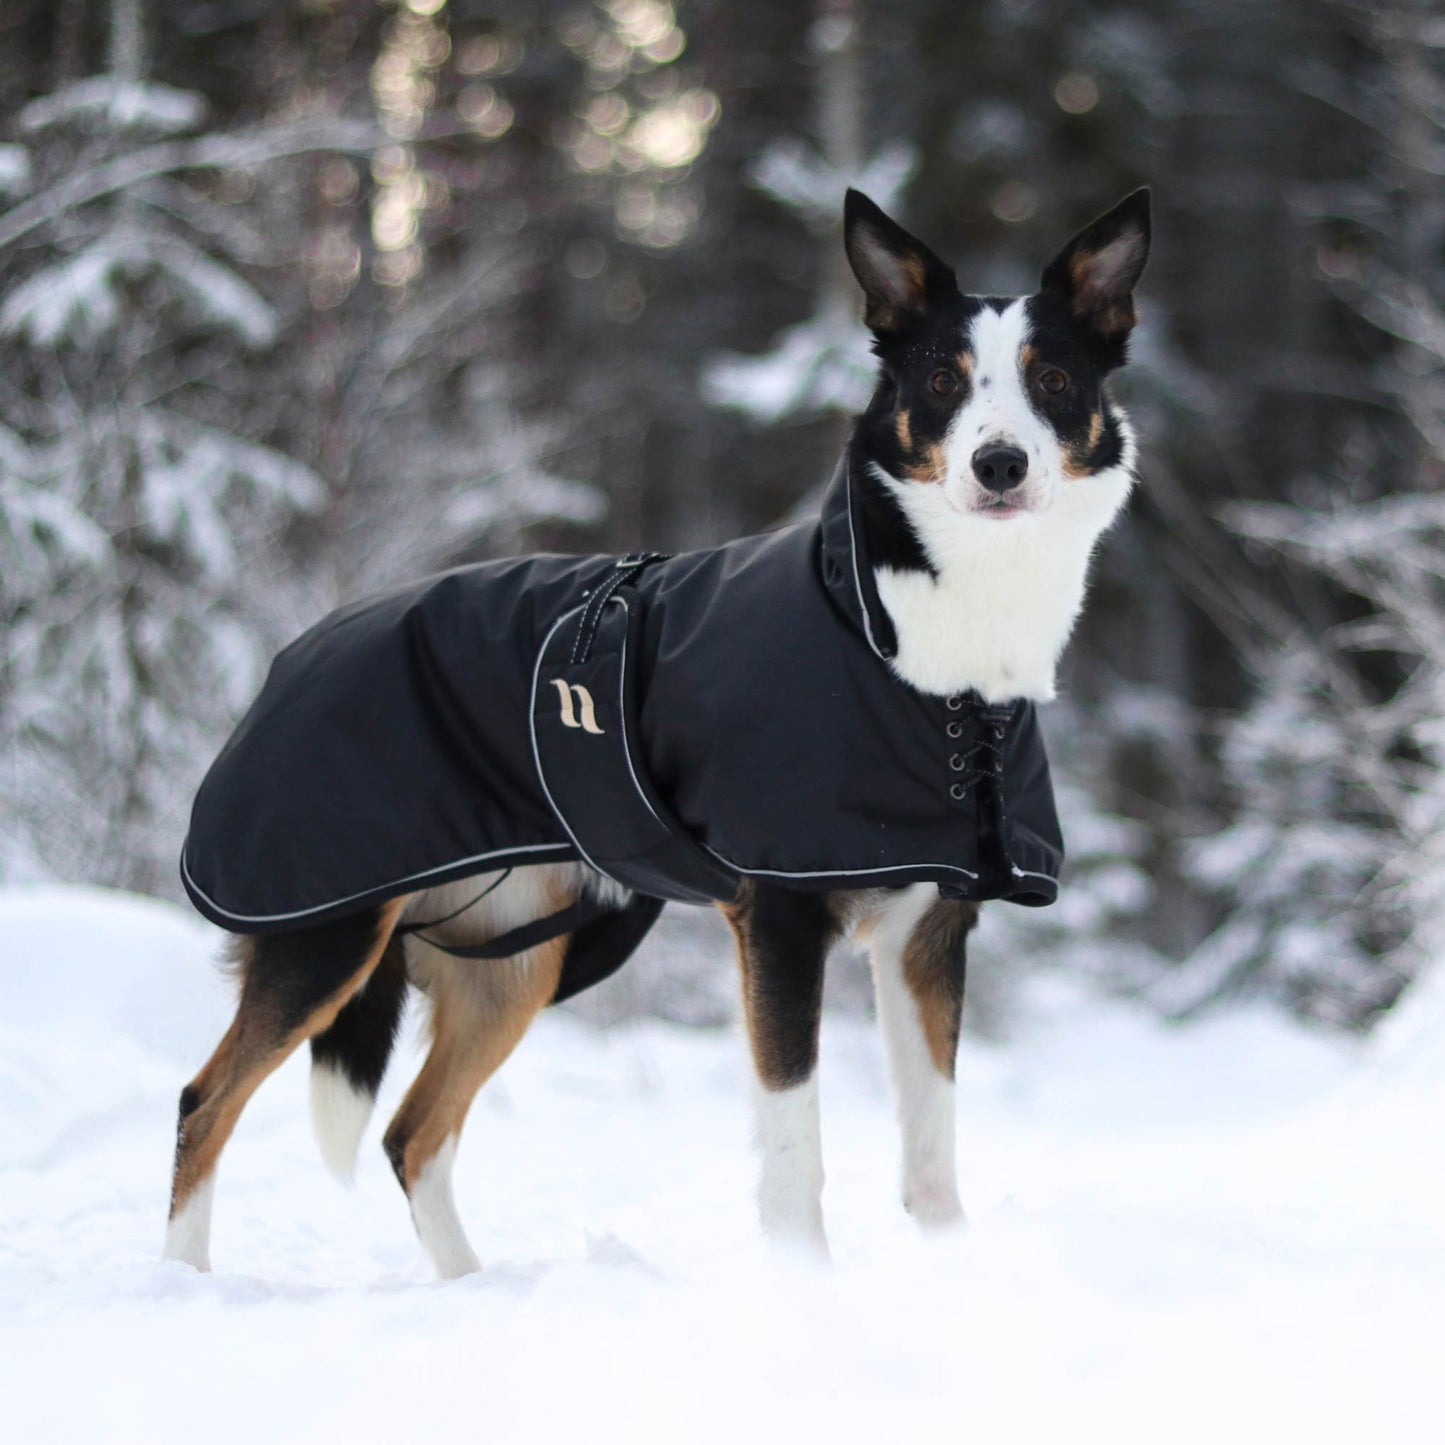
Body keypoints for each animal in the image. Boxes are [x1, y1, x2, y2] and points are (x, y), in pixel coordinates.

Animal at [161, 183, 1150, 1277]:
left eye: (1051, 376)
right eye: (941, 378)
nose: (997, 463)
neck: (914, 644)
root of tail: (294, 652)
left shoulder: (928, 930)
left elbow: (931, 1143)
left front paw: (947, 1264)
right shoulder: (779, 918)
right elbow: (793, 1143)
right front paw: (801, 1279)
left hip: (514, 960)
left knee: (411, 1133)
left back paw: (466, 1288)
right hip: (325, 931)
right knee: (205, 1101)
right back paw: (184, 1285)